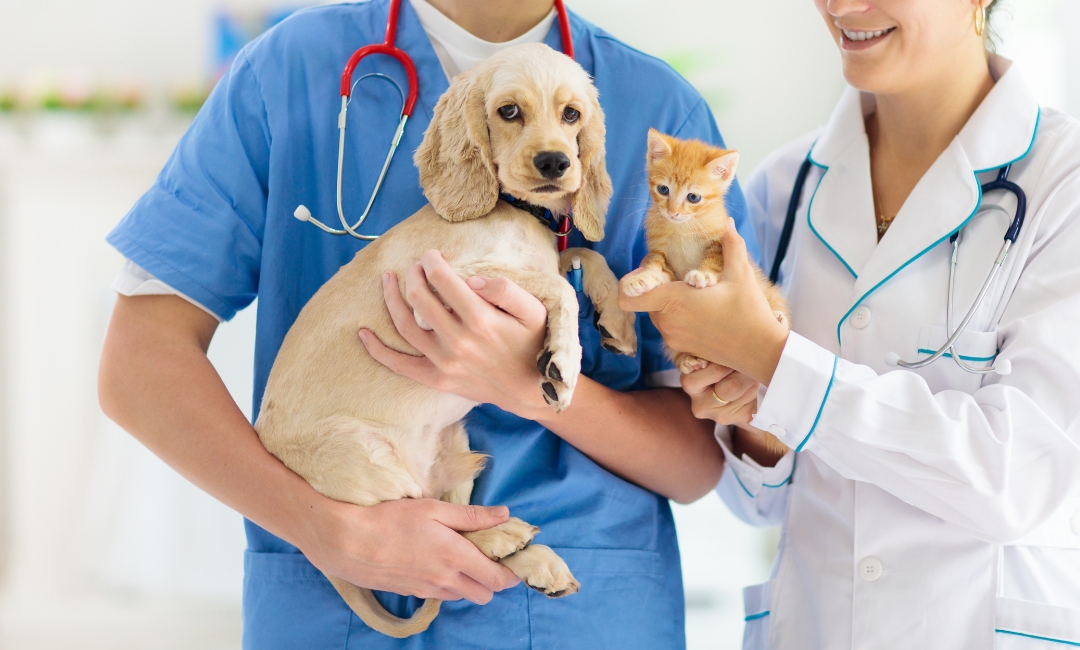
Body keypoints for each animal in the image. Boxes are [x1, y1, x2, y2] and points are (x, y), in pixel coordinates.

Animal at [622, 127, 790, 373]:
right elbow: (657, 268)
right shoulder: (663, 255)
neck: (683, 228)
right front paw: (641, 279)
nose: (672, 212)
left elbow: (714, 258)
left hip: (769, 291)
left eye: (693, 197)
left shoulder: (719, 240)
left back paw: (778, 317)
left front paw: (702, 275)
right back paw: (688, 360)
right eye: (663, 189)